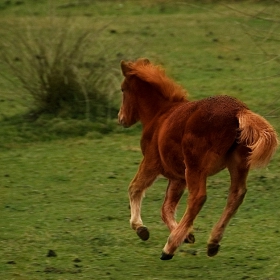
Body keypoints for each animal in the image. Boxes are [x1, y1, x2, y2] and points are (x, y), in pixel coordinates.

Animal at [116, 57, 278, 260]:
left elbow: (135, 188)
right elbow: (166, 208)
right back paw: (212, 243)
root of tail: (239, 111)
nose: (120, 118)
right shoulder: (178, 177)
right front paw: (187, 235)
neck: (159, 114)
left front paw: (141, 228)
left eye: (123, 89)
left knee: (198, 198)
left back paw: (169, 248)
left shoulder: (152, 163)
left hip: (195, 166)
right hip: (238, 163)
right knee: (236, 195)